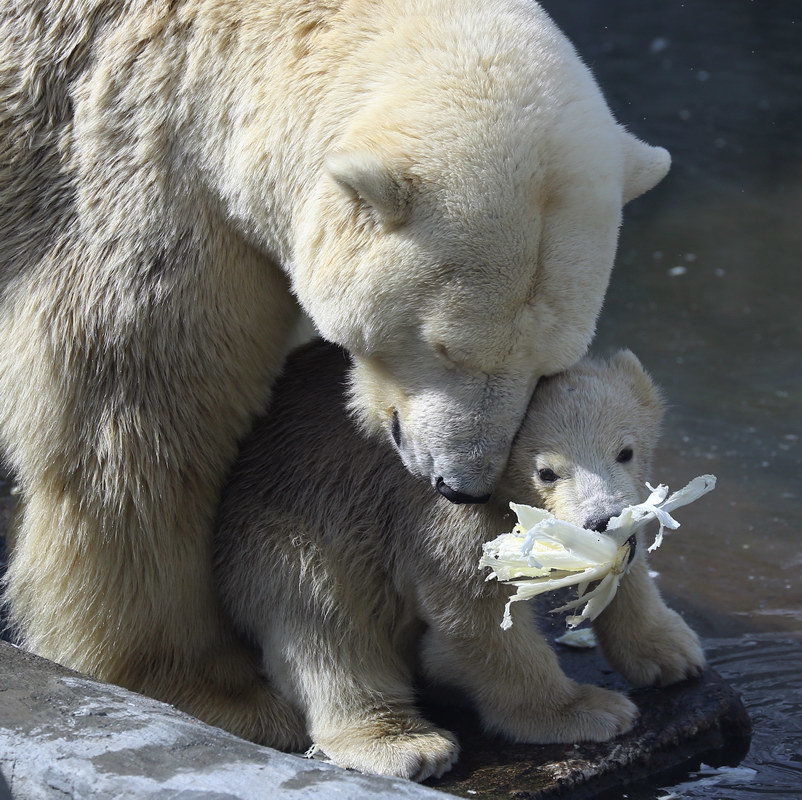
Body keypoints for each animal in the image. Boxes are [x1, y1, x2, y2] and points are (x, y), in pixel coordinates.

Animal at [0, 0, 664, 744]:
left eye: (548, 362)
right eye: (446, 348)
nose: (461, 487)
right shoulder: (134, 182)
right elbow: (140, 416)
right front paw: (209, 688)